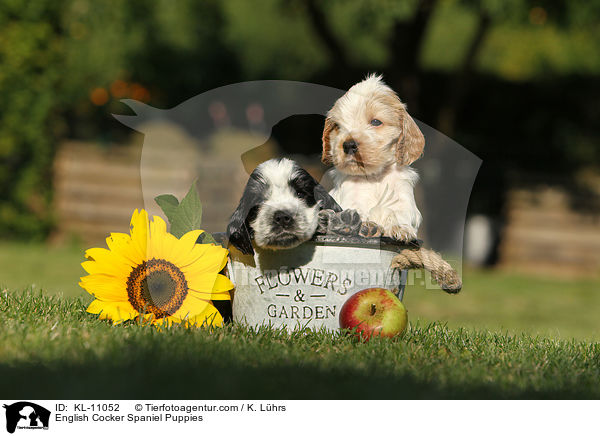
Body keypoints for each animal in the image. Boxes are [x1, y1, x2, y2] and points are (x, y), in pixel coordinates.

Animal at [322, 73, 424, 240]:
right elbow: (355, 212)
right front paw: (365, 226)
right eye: (337, 126)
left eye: (376, 122)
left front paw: (400, 228)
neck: (375, 177)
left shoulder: (404, 199)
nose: (348, 145)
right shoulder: (350, 198)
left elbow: (400, 213)